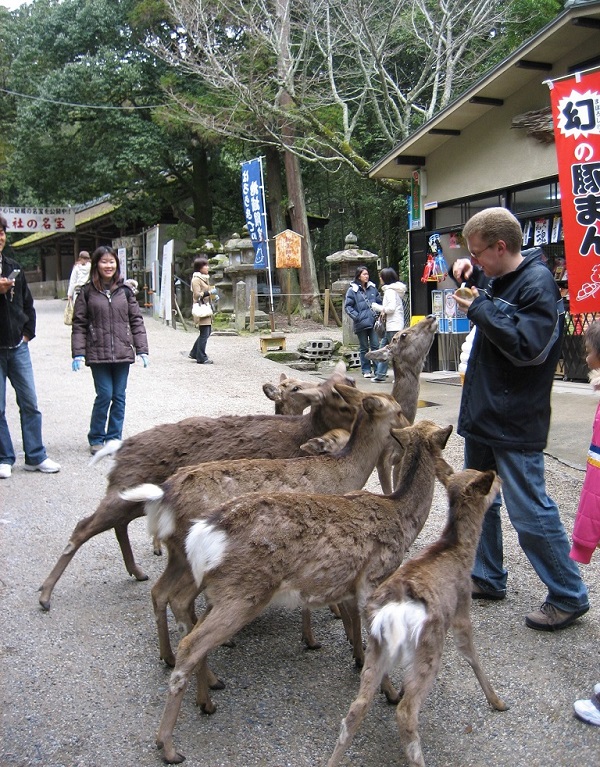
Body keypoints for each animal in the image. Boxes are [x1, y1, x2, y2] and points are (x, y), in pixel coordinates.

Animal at [38, 364, 358, 611]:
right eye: (297, 388)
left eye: (351, 383)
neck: (300, 436)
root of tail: (119, 449)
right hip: (123, 487)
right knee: (83, 525)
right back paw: (44, 595)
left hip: (133, 495)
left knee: (117, 525)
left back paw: (137, 572)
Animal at [120, 385, 407, 666]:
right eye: (398, 410)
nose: (407, 426)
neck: (345, 473)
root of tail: (163, 496)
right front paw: (343, 640)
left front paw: (314, 636)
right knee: (180, 602)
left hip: (178, 553)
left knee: (160, 592)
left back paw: (168, 656)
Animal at [148, 420, 453, 765]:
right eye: (443, 442)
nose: (451, 472)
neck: (401, 516)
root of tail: (202, 532)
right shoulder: (374, 578)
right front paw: (389, 692)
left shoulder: (350, 585)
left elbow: (353, 626)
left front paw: (356, 657)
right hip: (242, 593)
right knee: (190, 642)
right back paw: (168, 744)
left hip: (221, 592)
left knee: (177, 611)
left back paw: (205, 698)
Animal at [327, 468, 508, 767]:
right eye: (486, 479)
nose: (501, 479)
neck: (458, 550)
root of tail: (392, 611)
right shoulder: (461, 606)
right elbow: (471, 653)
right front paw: (497, 702)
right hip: (429, 646)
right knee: (406, 711)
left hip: (377, 647)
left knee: (355, 709)